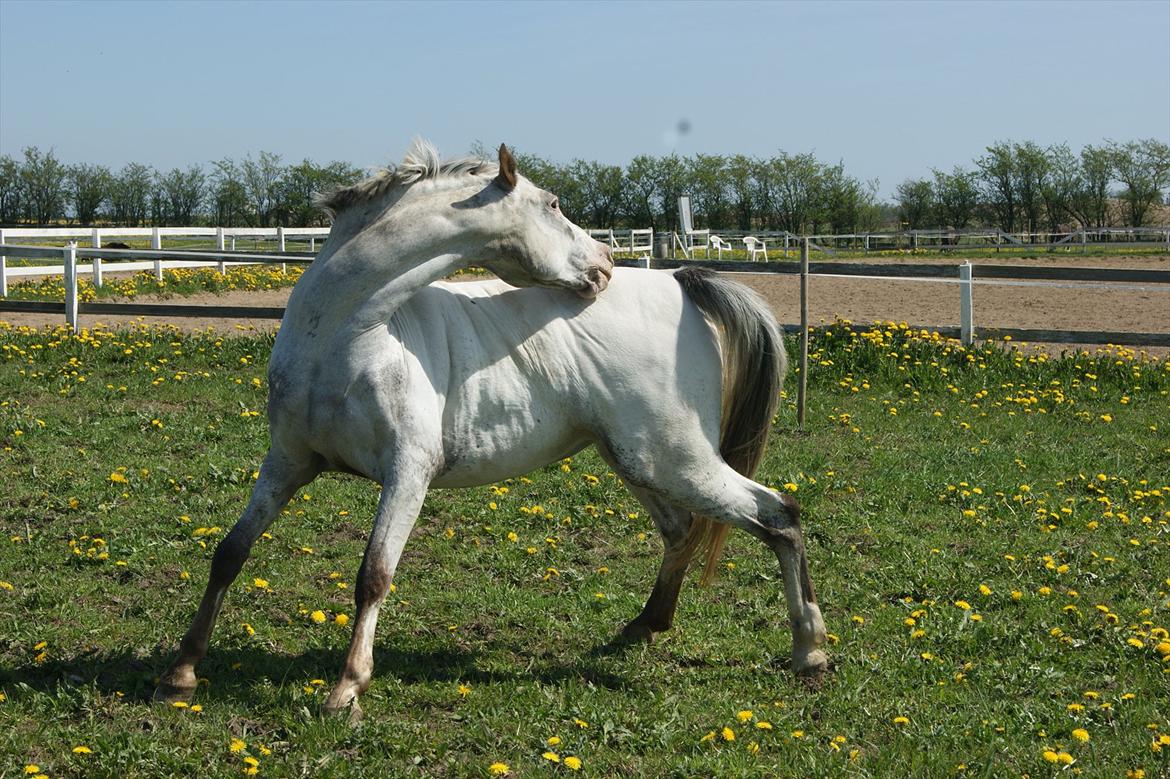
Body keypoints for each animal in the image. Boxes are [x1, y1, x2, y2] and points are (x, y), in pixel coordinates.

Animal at [155, 140, 828, 715]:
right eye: (553, 203)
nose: (604, 264)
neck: (347, 336)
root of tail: (682, 282)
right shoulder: (288, 462)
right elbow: (230, 552)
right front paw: (182, 672)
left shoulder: (407, 472)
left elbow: (373, 575)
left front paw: (345, 689)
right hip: (636, 459)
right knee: (684, 531)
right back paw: (642, 628)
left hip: (676, 459)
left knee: (778, 516)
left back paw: (810, 651)